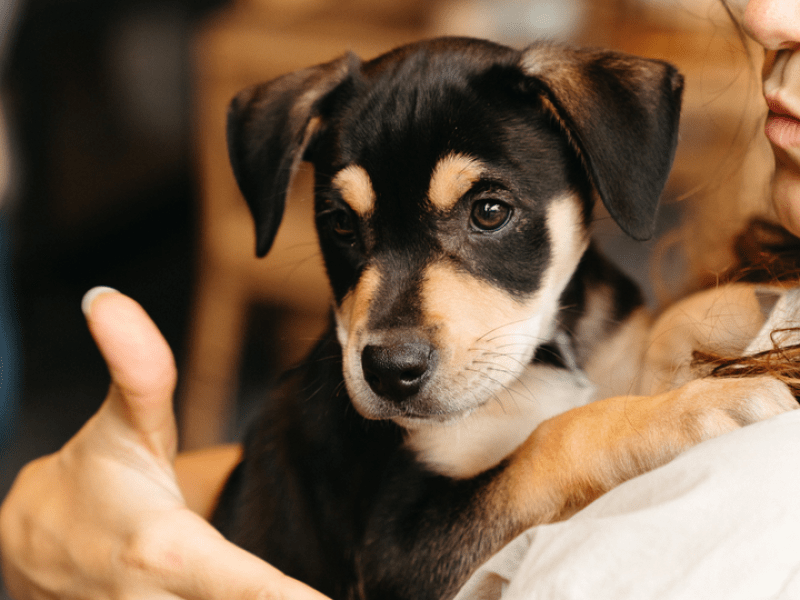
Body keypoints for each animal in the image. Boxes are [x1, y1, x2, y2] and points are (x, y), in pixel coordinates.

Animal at [211, 38, 792, 600]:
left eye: (490, 212)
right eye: (340, 225)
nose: (389, 372)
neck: (545, 355)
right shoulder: (398, 551)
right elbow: (556, 436)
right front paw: (705, 405)